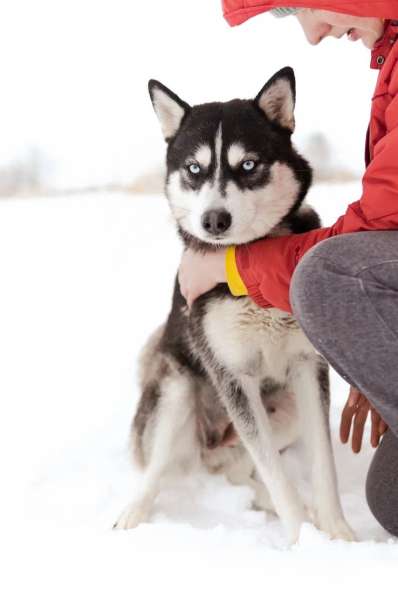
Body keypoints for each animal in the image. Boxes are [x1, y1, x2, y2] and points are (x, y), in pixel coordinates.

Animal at [116, 67, 354, 544]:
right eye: (194, 168)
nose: (214, 220)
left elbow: (321, 465)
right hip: (176, 392)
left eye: (248, 165)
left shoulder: (307, 367)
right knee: (158, 468)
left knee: (244, 468)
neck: (245, 264)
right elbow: (278, 475)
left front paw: (336, 533)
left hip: (286, 409)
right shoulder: (232, 376)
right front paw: (302, 541)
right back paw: (134, 511)